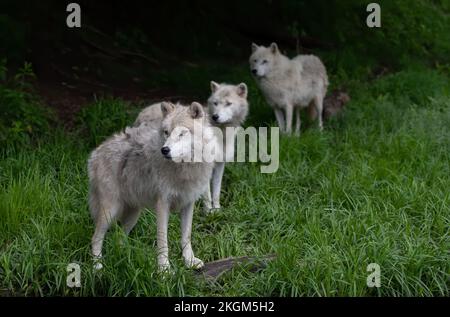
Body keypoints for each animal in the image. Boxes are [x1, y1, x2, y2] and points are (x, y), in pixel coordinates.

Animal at [88, 102, 218, 272]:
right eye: (166, 132)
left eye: (182, 133)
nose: (165, 150)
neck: (185, 167)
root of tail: (96, 152)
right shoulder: (162, 204)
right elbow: (163, 241)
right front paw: (164, 270)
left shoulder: (188, 204)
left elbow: (186, 236)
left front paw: (189, 261)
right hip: (110, 212)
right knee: (96, 238)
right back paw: (98, 266)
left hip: (133, 214)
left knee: (119, 237)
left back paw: (124, 258)